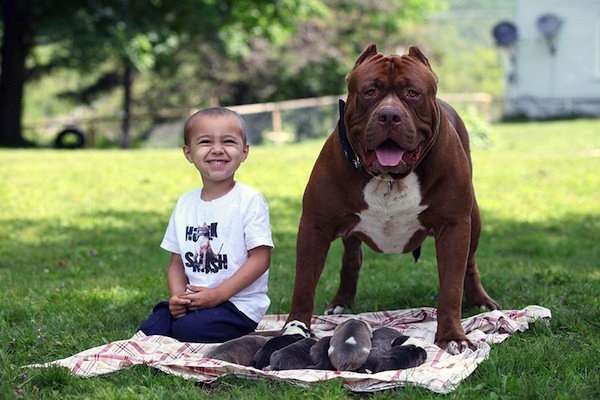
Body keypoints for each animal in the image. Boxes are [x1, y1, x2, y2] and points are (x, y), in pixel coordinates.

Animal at [284, 43, 500, 350]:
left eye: (412, 92)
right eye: (370, 91)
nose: (388, 115)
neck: (389, 179)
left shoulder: (454, 226)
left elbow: (451, 287)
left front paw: (452, 336)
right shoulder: (315, 226)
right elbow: (303, 284)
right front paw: (295, 328)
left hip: (475, 219)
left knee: (470, 264)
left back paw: (481, 301)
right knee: (351, 259)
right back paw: (341, 302)